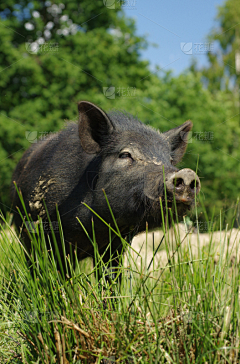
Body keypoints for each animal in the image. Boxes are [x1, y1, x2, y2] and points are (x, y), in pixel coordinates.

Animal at [10, 101, 200, 278]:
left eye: (169, 160)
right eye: (125, 154)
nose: (188, 173)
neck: (97, 227)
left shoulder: (116, 245)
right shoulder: (55, 238)